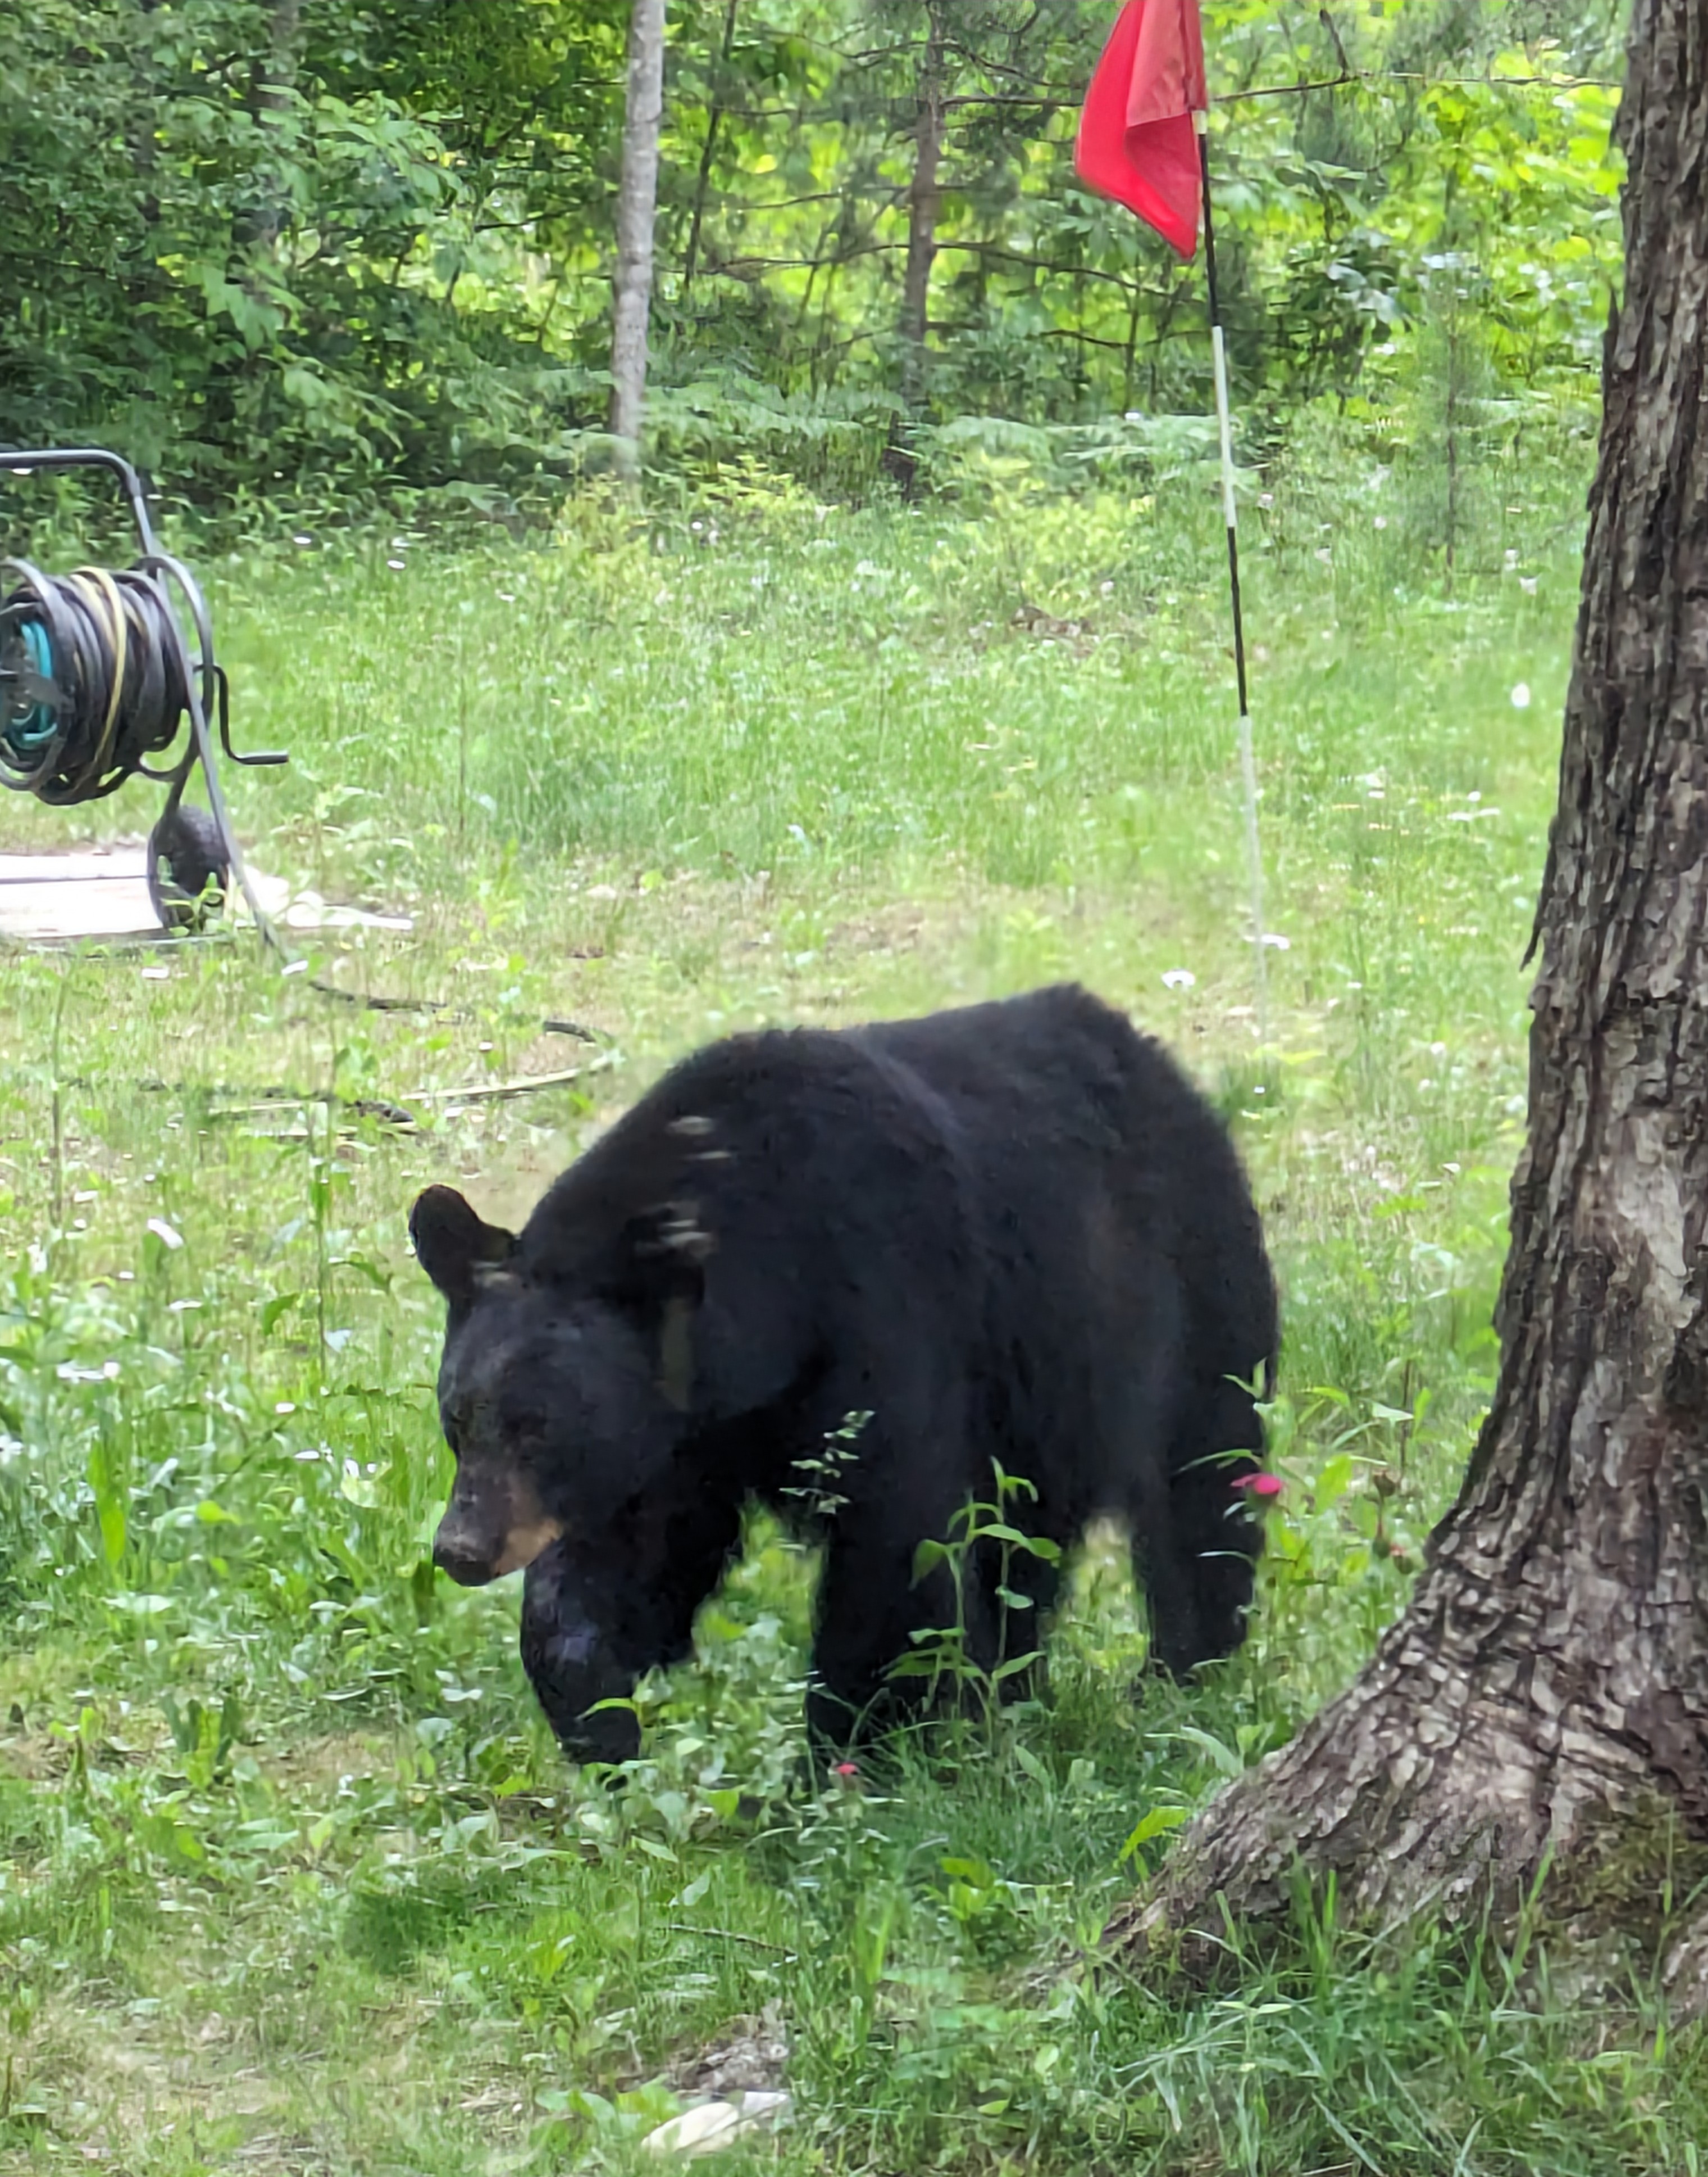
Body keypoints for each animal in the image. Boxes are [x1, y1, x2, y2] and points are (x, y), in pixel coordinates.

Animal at [407, 988, 1270, 1768]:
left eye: (538, 1428)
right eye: (458, 1420)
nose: (461, 1548)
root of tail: (1156, 1059)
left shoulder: (883, 1308)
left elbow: (895, 1540)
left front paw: (841, 1763)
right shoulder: (686, 1425)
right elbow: (643, 1552)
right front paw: (600, 1719)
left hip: (1187, 1288)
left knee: (1204, 1484)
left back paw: (1175, 1676)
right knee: (1027, 1546)